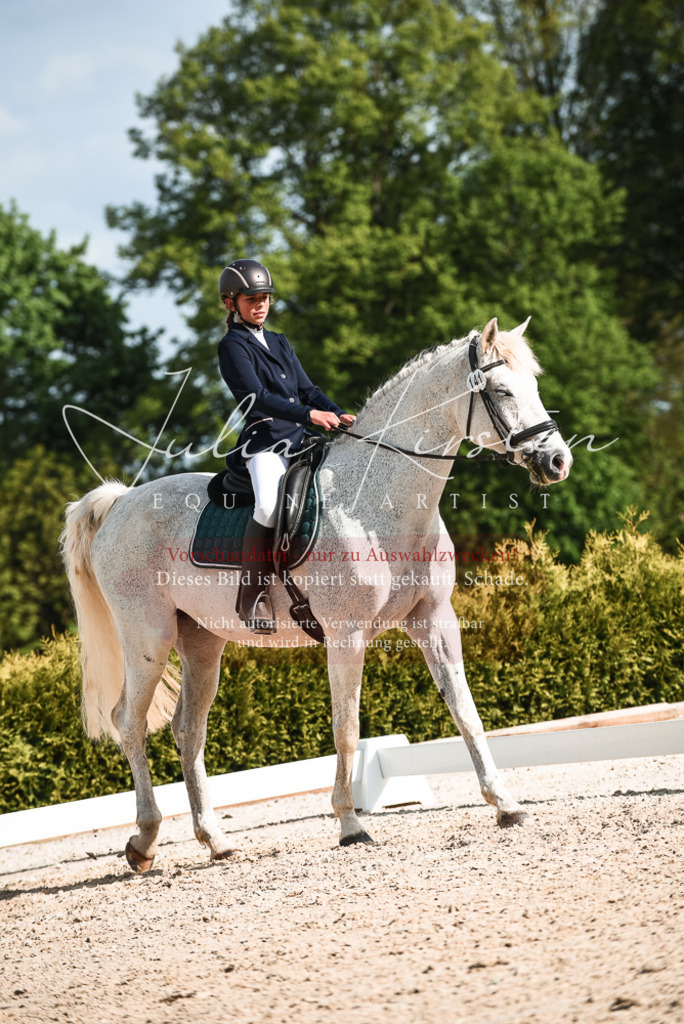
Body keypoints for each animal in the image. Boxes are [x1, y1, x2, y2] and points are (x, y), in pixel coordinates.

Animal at [61, 317, 572, 872]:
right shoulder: (346, 636)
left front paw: (506, 805)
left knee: (187, 730)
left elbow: (466, 712)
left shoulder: (434, 620)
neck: (378, 503)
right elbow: (346, 728)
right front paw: (351, 825)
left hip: (201, 643)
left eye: (534, 386)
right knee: (128, 722)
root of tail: (121, 502)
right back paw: (144, 841)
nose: (557, 461)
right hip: (147, 639)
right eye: (501, 391)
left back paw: (215, 841)